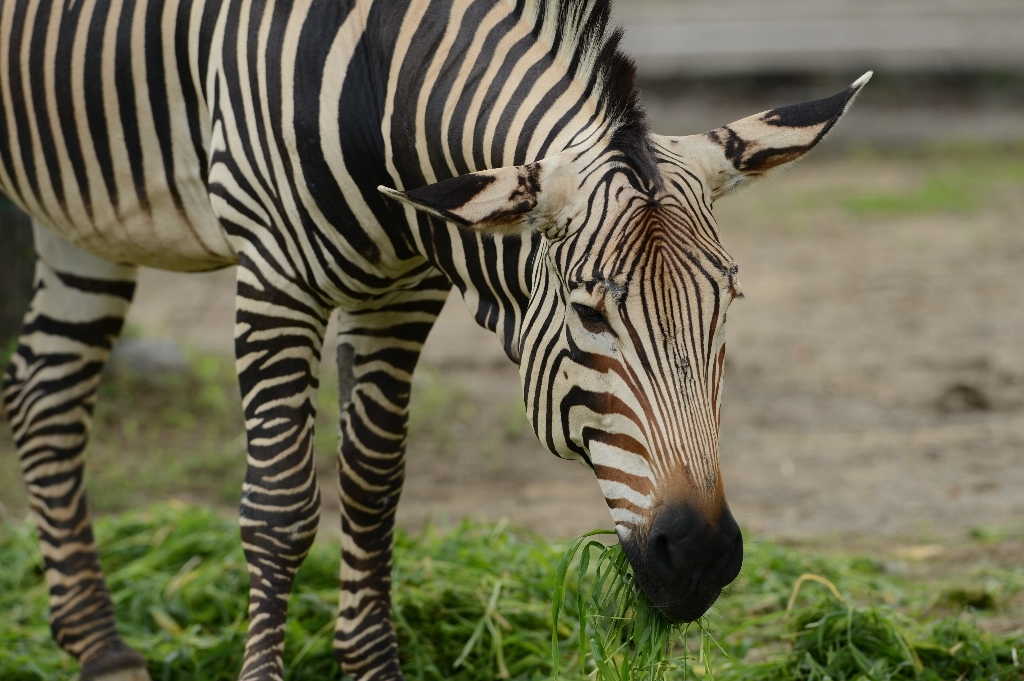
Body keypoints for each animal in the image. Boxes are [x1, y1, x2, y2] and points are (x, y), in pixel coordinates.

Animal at [0, 0, 868, 675]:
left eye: (729, 302)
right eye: (590, 314)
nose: (700, 557)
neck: (383, 89)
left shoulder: (404, 292)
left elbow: (373, 487)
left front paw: (370, 663)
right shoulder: (273, 279)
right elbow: (281, 508)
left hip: (82, 218)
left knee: (43, 393)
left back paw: (102, 650)